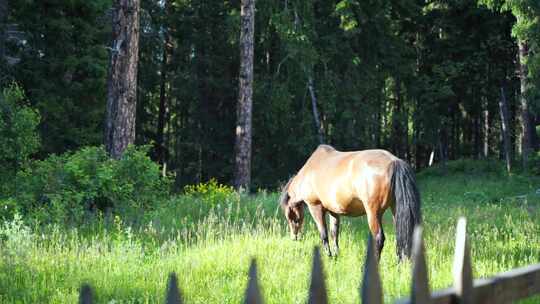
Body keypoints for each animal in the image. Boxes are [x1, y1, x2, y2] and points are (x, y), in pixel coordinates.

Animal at [278, 144, 422, 258]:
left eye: (290, 216)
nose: (294, 237)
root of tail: (394, 161)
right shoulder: (334, 212)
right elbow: (334, 233)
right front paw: (336, 255)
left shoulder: (315, 207)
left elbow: (324, 234)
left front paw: (329, 256)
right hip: (395, 209)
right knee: (401, 235)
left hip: (373, 213)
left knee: (379, 238)